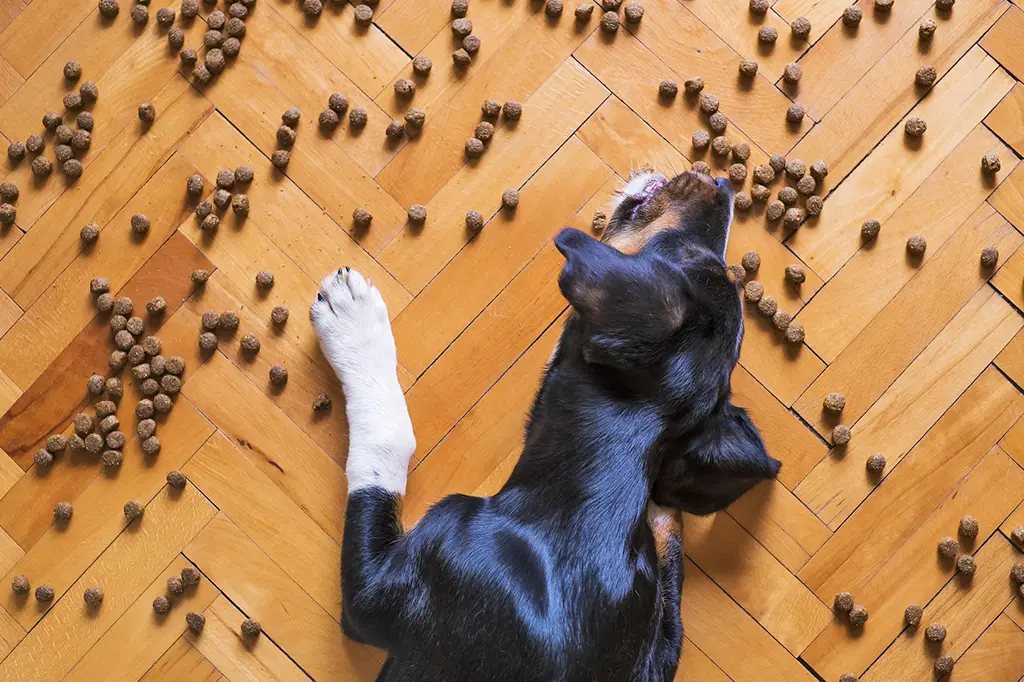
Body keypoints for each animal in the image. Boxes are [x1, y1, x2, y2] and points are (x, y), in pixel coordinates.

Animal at [307, 169, 778, 679]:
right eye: (705, 260)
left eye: (683, 256)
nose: (721, 183)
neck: (584, 500)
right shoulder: (658, 647)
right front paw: (662, 510)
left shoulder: (376, 594)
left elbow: (387, 445)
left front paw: (353, 322)